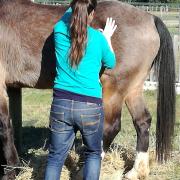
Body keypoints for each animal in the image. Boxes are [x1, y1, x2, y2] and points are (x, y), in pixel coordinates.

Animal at [0, 0, 175, 179]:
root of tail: (150, 18)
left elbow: (4, 128)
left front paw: (11, 170)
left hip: (113, 88)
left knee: (111, 127)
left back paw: (82, 172)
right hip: (133, 88)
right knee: (142, 120)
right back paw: (136, 171)